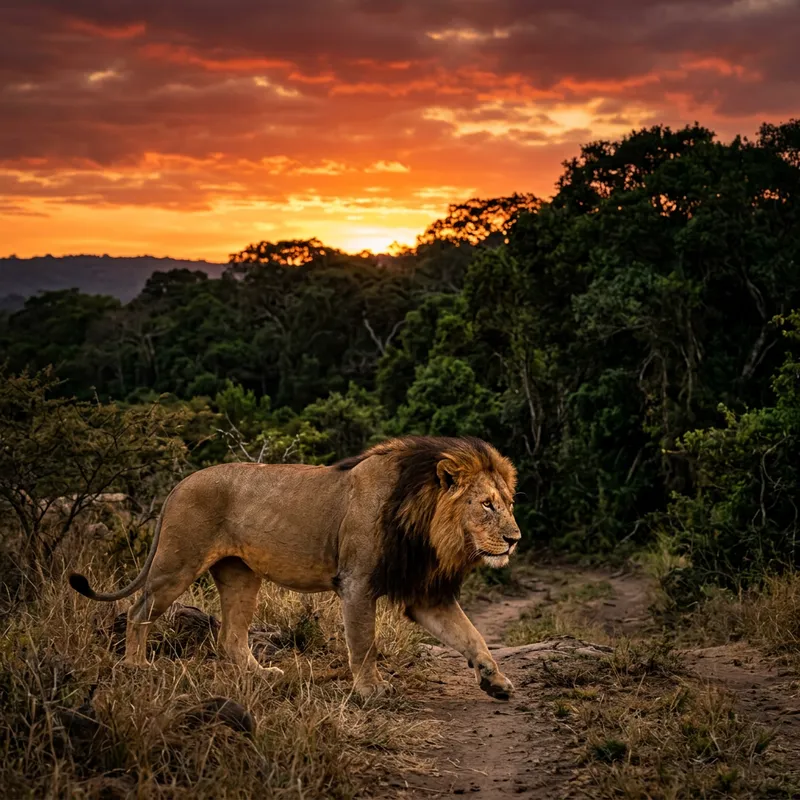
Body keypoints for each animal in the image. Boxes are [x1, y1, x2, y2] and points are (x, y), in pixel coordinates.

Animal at [70, 436, 521, 699]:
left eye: (508, 503)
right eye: (486, 505)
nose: (515, 539)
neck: (426, 528)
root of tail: (179, 484)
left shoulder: (426, 594)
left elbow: (472, 636)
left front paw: (495, 680)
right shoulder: (356, 583)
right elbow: (364, 643)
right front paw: (371, 690)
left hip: (240, 575)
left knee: (231, 637)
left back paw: (262, 675)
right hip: (176, 564)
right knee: (138, 611)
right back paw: (136, 667)